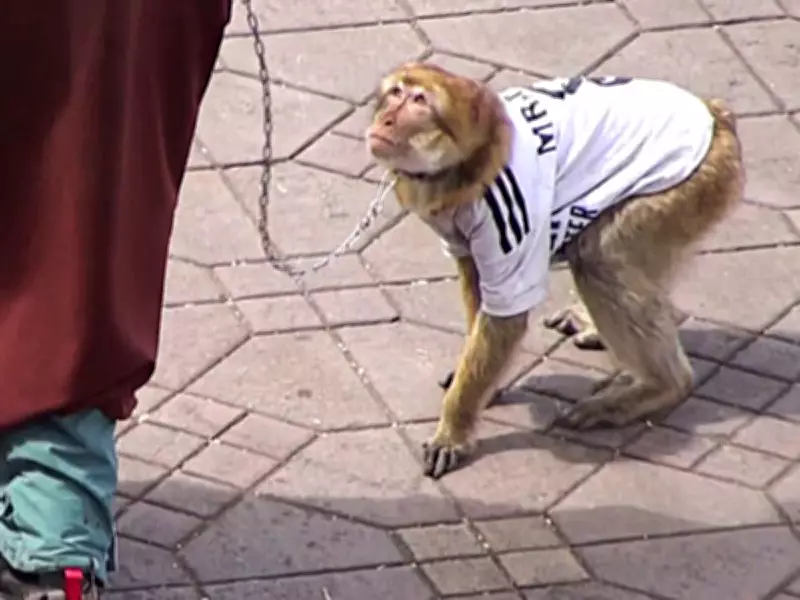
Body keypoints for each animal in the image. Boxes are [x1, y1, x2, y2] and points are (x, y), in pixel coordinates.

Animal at [364, 62, 744, 479]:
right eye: (396, 93)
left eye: (419, 101)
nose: (386, 118)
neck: (466, 162)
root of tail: (718, 119)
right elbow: (476, 281)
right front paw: (486, 383)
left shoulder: (507, 215)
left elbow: (507, 316)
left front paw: (454, 428)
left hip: (680, 190)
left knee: (599, 260)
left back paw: (663, 386)